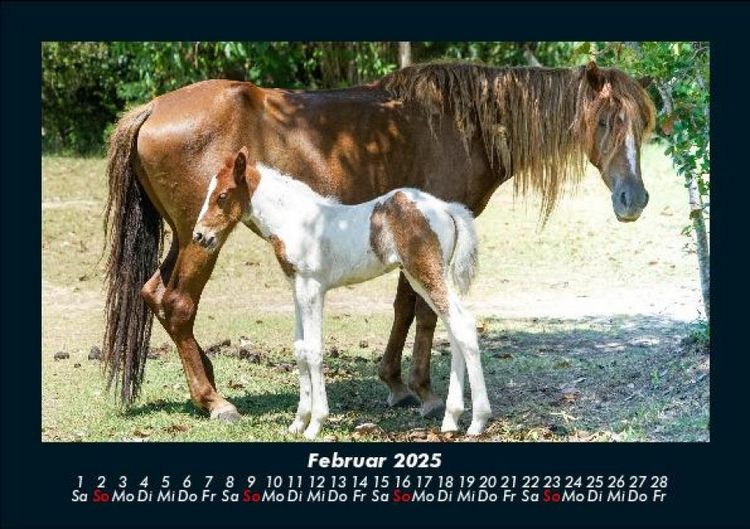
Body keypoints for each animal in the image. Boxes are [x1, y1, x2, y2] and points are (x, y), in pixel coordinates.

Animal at [192, 147, 491, 438]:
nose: (199, 236)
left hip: (426, 274)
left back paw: (477, 421)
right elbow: (300, 349)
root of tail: (446, 207)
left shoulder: (312, 289)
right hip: (421, 278)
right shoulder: (297, 289)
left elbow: (313, 350)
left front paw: (315, 424)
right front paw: (298, 423)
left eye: (222, 195)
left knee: (463, 324)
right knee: (454, 329)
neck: (296, 221)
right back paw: (451, 419)